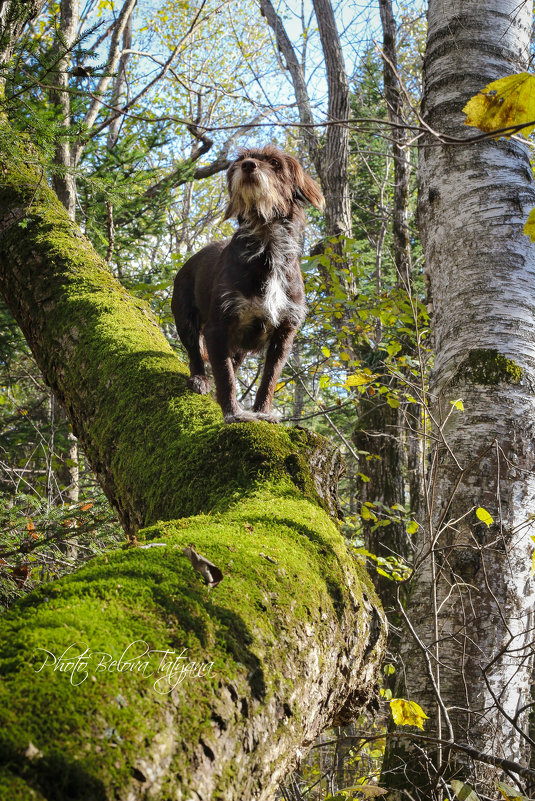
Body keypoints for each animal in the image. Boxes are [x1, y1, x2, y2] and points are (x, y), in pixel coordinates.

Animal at [172, 149, 324, 424]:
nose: (248, 165)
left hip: (238, 347)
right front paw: (233, 412)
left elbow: (269, 379)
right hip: (185, 319)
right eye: (241, 159)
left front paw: (262, 412)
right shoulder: (217, 327)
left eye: (275, 163)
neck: (267, 243)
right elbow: (225, 377)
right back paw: (199, 379)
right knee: (195, 354)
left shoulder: (284, 333)